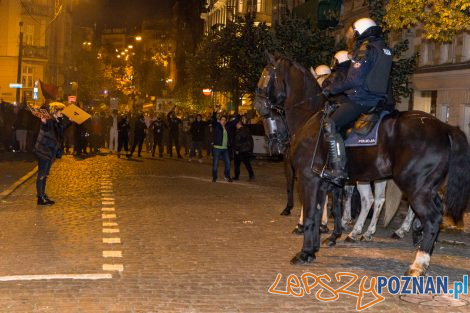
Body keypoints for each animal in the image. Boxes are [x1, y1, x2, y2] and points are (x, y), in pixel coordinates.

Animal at [253, 56, 470, 276]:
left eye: (266, 75)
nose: (258, 106)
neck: (310, 119)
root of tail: (446, 127)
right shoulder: (323, 183)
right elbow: (319, 212)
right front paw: (314, 248)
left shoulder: (308, 179)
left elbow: (311, 215)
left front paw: (305, 252)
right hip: (425, 187)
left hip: (415, 186)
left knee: (430, 217)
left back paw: (417, 262)